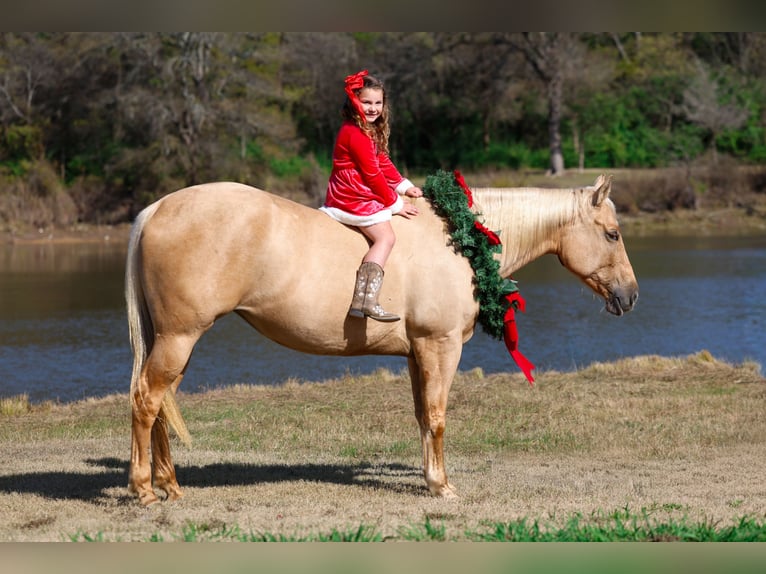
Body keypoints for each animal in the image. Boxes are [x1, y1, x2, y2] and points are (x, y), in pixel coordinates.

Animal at [125, 174, 638, 506]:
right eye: (612, 234)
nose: (630, 295)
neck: (458, 240)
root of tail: (156, 208)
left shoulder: (417, 353)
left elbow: (422, 416)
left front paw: (430, 478)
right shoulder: (440, 346)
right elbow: (438, 417)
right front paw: (442, 486)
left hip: (176, 343)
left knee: (161, 403)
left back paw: (169, 484)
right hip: (180, 338)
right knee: (146, 400)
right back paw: (145, 488)